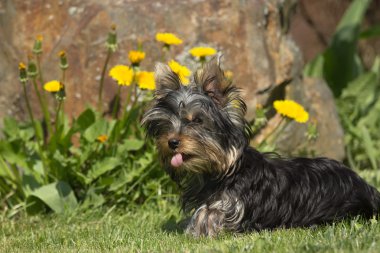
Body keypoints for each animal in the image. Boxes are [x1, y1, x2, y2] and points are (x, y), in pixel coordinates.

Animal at [142, 58, 380, 236]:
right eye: (166, 124)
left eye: (198, 120)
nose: (172, 142)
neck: (224, 171)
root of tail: (364, 186)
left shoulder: (230, 210)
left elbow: (205, 217)